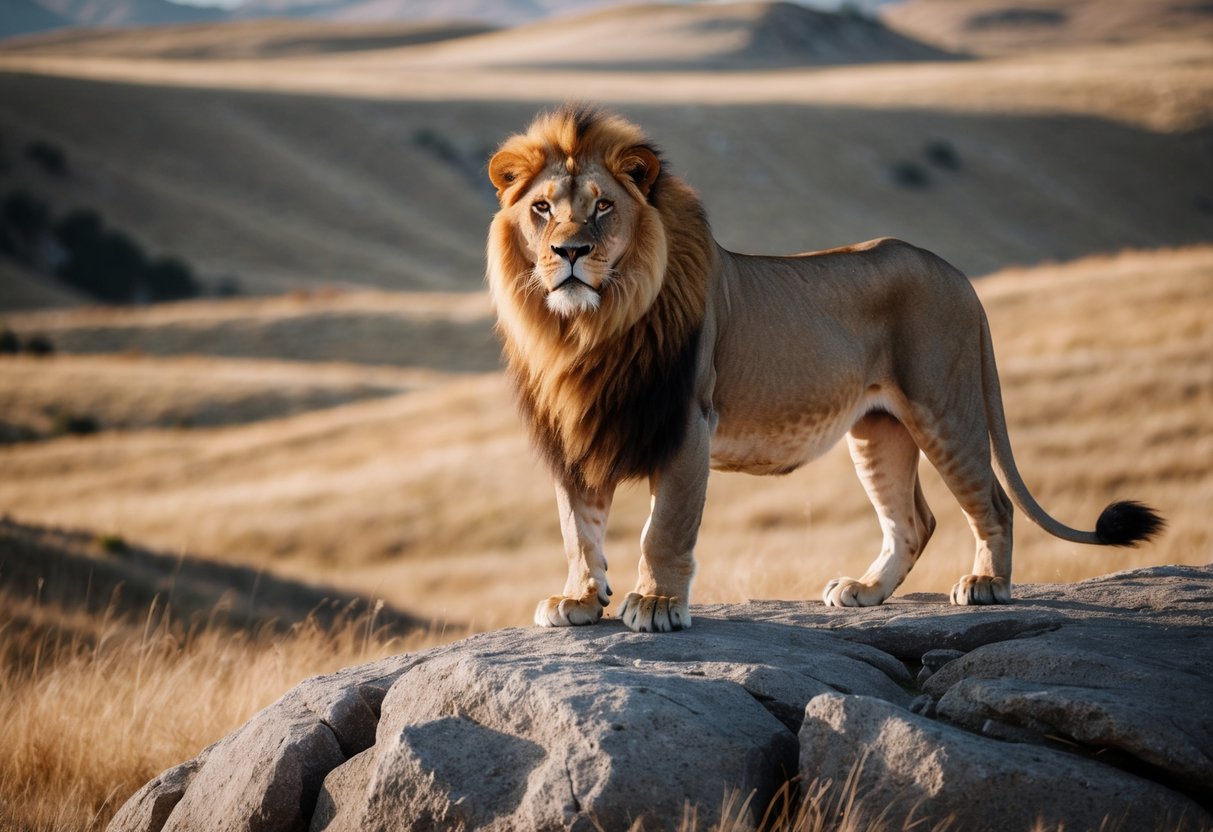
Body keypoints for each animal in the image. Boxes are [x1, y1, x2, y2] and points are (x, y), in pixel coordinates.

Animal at [486, 104, 1163, 633]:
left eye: (602, 207)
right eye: (542, 208)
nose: (569, 252)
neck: (585, 329)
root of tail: (957, 274)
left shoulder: (687, 421)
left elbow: (665, 527)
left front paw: (655, 604)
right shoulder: (574, 427)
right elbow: (579, 526)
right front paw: (578, 599)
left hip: (944, 406)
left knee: (992, 502)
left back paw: (987, 586)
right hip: (879, 428)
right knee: (913, 520)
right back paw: (865, 592)